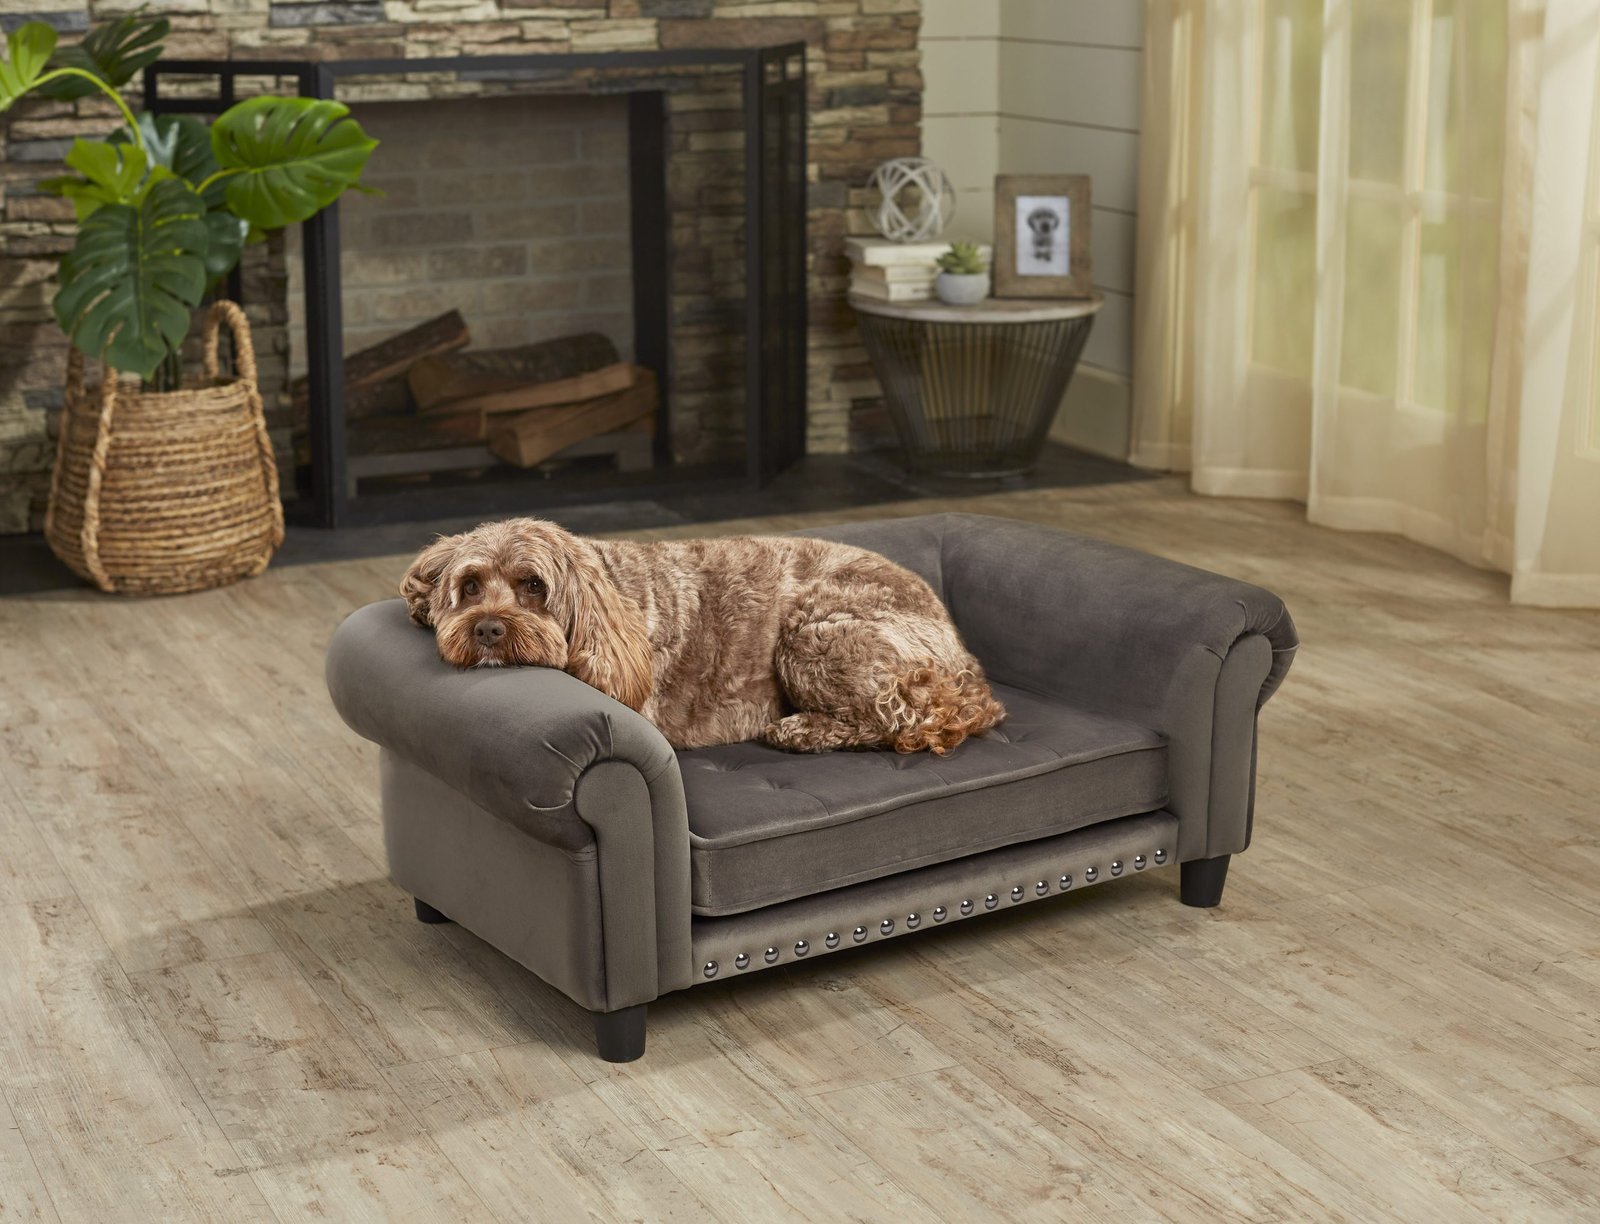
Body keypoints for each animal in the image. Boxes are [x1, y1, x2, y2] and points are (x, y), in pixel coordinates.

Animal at [400, 518, 1005, 754]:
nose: (487, 628)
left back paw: (802, 730)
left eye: (533, 585)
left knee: (897, 719)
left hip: (815, 635)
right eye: (470, 586)